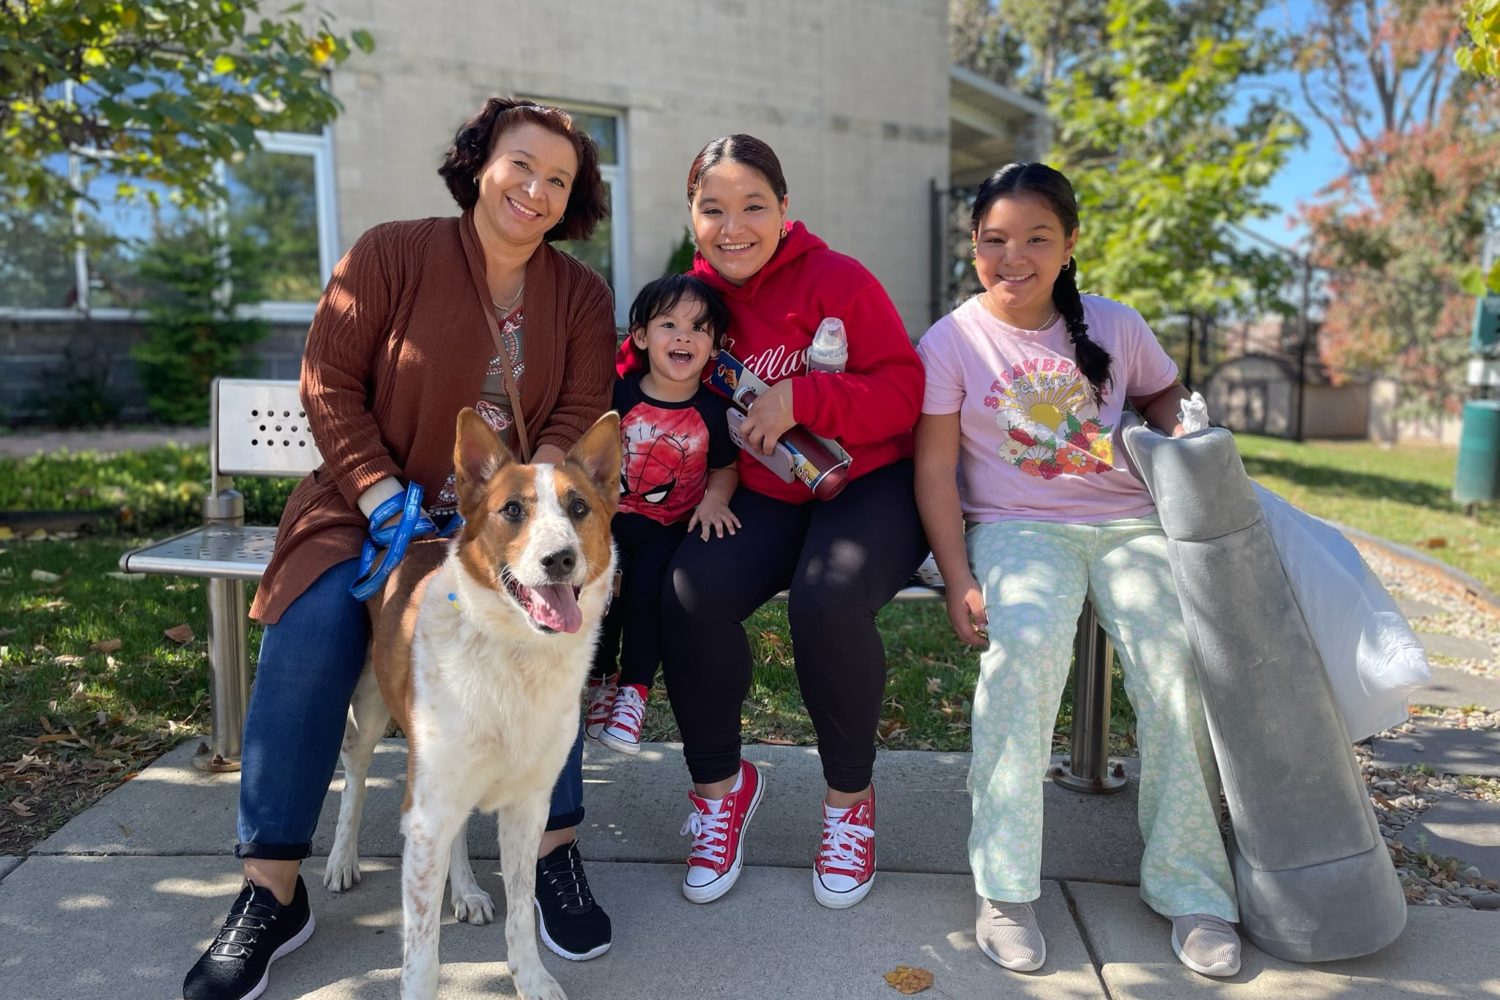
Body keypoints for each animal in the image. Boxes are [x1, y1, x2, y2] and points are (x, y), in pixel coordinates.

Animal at [325, 407, 624, 1000]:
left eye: (579, 507)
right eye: (512, 510)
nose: (560, 559)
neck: (516, 654)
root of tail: (407, 540)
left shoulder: (528, 807)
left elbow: (522, 915)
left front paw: (531, 979)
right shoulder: (425, 814)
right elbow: (421, 950)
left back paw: (463, 890)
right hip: (371, 712)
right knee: (356, 773)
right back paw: (343, 859)